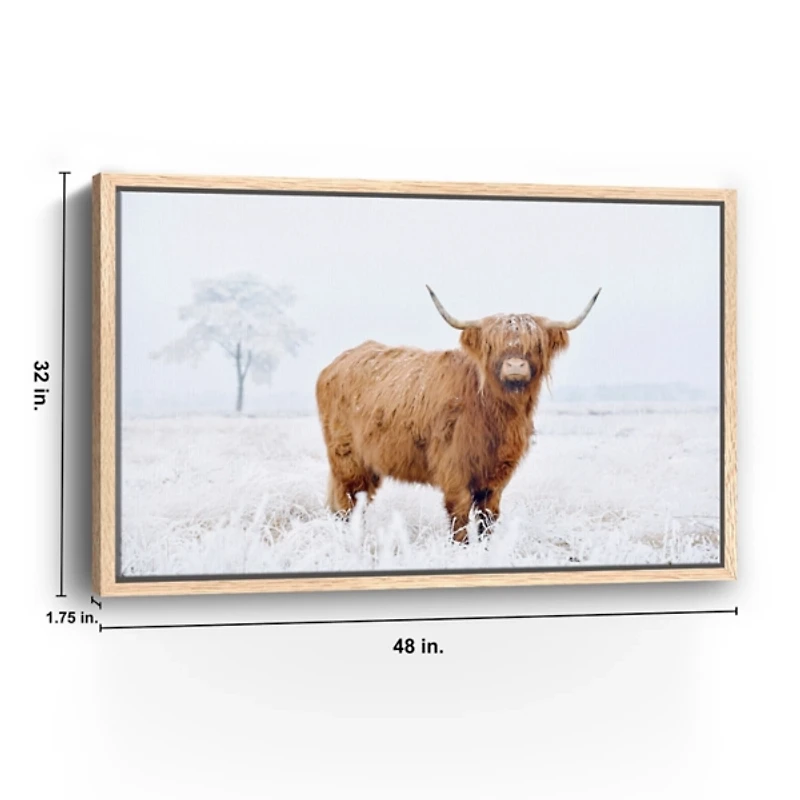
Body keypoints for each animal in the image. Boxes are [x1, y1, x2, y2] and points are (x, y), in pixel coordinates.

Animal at [315, 286, 601, 542]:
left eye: (536, 345)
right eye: (491, 344)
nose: (515, 366)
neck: (494, 414)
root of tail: (337, 363)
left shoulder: (496, 476)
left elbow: (488, 518)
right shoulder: (454, 469)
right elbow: (459, 517)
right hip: (347, 459)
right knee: (348, 503)